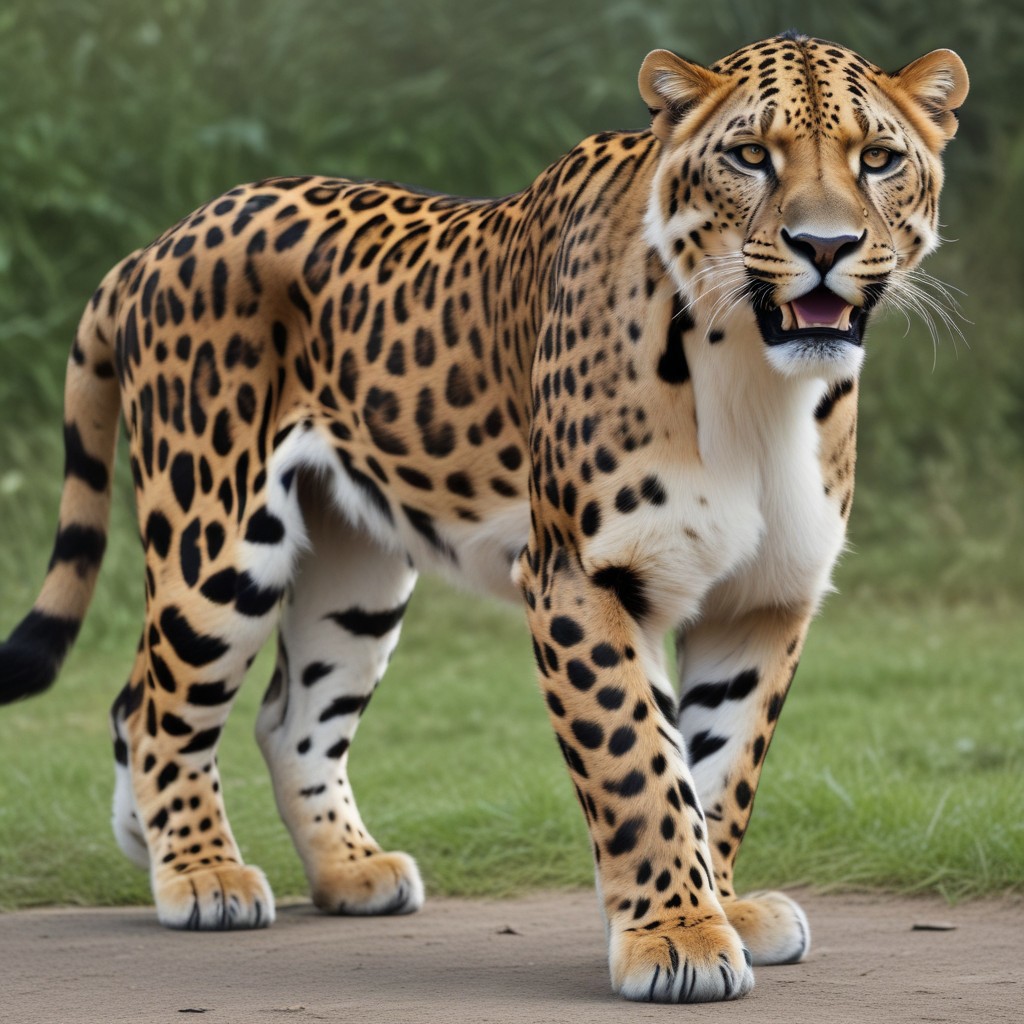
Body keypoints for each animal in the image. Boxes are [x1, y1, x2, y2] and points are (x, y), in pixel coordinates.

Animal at [0, 32, 967, 1002]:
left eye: (877, 161)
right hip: (221, 542)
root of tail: (159, 242)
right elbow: (641, 767)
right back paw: (202, 873)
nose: (824, 245)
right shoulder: (581, 576)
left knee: (281, 716)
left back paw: (336, 868)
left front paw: (722, 906)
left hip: (355, 577)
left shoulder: (763, 600)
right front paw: (676, 936)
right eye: (752, 156)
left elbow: (721, 770)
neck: (758, 384)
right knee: (156, 706)